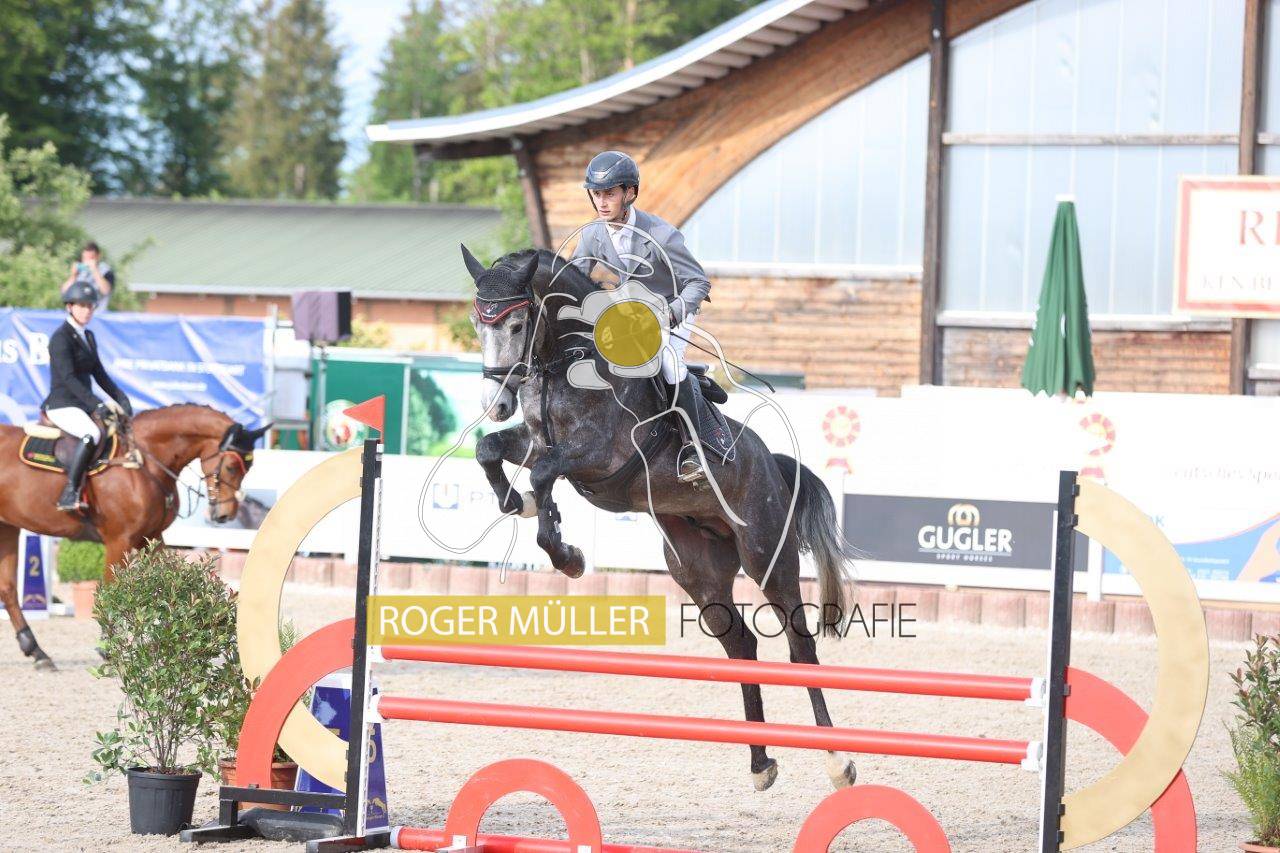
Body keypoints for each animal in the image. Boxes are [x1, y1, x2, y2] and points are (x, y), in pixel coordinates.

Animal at [0, 404, 266, 670]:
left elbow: (169, 581)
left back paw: (37, 651)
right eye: (231, 466)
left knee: (8, 589)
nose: (224, 514)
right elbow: (110, 590)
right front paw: (108, 647)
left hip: (8, 527)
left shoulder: (152, 538)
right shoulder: (119, 540)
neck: (143, 462)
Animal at [463, 245, 859, 792]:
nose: (497, 403)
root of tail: (774, 467)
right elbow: (491, 452)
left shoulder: (599, 454)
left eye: (519, 324)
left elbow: (543, 473)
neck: (567, 360)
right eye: (476, 324)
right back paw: (761, 763)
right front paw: (520, 506)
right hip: (698, 569)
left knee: (800, 648)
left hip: (766, 557)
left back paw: (838, 762)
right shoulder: (538, 441)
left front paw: (566, 555)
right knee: (740, 642)